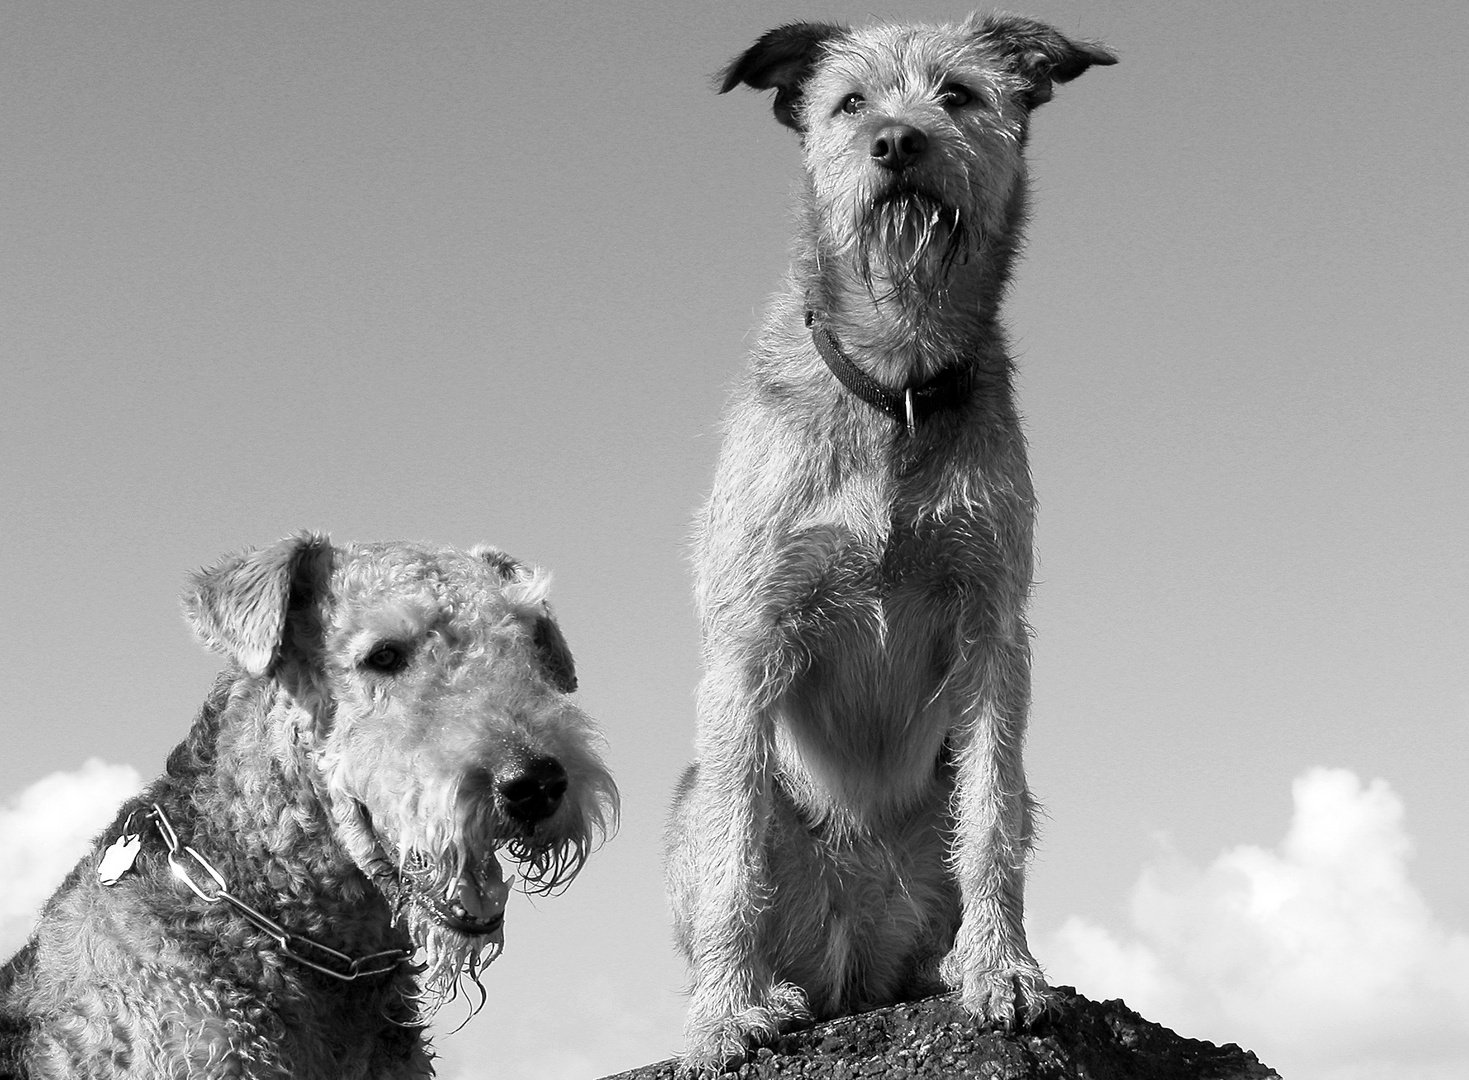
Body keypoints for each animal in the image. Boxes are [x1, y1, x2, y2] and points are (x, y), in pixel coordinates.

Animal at [666, 10, 1110, 1075]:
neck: (895, 385)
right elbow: (733, 850)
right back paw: (766, 989)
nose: (898, 142)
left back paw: (944, 965)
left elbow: (990, 818)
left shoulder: (993, 632)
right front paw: (719, 1015)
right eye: (848, 102)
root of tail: (853, 968)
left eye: (958, 93)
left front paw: (1002, 972)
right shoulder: (748, 642)